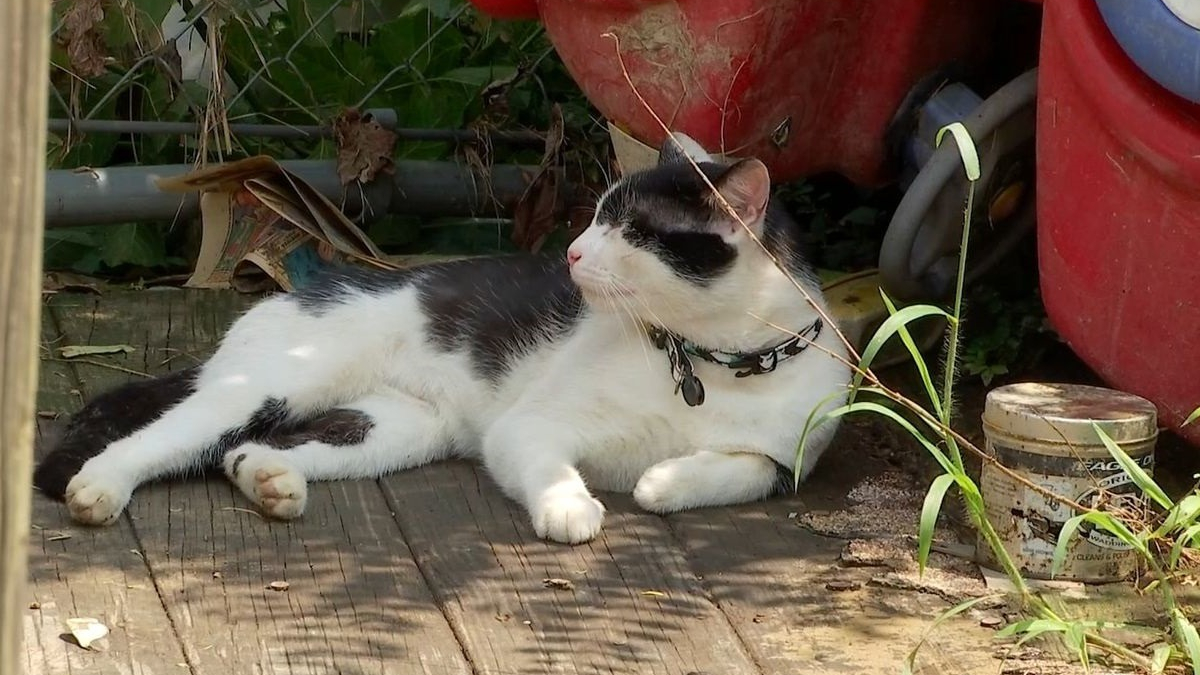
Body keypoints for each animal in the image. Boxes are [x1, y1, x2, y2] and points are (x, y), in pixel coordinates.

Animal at [35, 133, 854, 542]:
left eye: (631, 232)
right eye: (595, 217)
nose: (571, 253)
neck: (707, 359)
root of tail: (301, 291)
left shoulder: (790, 458)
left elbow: (740, 469)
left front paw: (662, 479)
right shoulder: (528, 426)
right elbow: (552, 467)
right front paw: (571, 507)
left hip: (393, 429)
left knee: (246, 449)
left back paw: (272, 483)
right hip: (270, 383)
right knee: (163, 436)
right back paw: (100, 488)